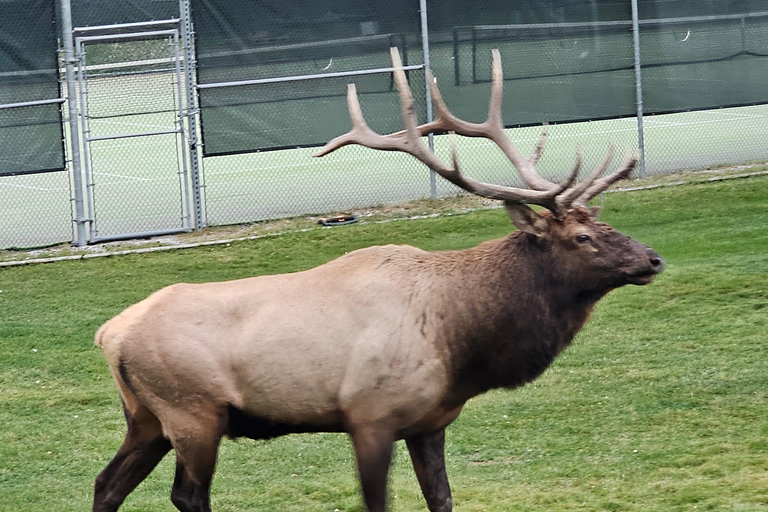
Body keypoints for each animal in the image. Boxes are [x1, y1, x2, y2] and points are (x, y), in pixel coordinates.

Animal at [93, 49, 664, 512]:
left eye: (604, 224)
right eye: (582, 238)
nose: (653, 259)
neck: (462, 343)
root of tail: (109, 334)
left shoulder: (430, 422)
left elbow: (442, 499)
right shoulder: (369, 416)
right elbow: (377, 501)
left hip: (146, 419)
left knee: (107, 484)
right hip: (192, 411)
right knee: (186, 495)